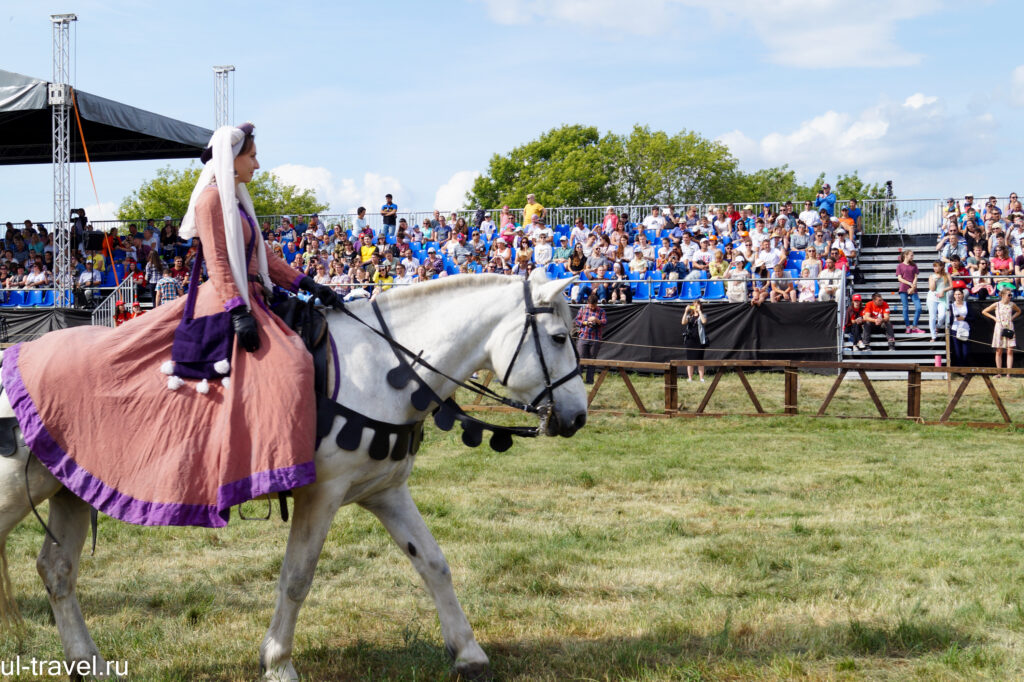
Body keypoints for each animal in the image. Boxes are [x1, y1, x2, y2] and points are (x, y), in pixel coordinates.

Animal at [0, 270, 585, 675]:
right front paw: (278, 661)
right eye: (558, 337)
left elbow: (433, 563)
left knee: (57, 570)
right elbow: (297, 577)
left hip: (70, 489)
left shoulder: (386, 491)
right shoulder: (322, 494)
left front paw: (468, 653)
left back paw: (91, 664)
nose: (577, 417)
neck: (384, 366)